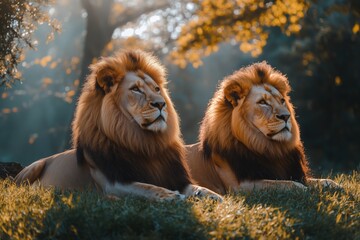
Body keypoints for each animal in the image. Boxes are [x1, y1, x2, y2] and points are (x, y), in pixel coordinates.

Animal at [16, 49, 222, 201]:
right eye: (136, 89)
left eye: (157, 89)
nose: (161, 104)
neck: (145, 143)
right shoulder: (113, 183)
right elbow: (145, 187)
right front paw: (170, 196)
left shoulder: (174, 177)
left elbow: (197, 187)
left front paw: (214, 195)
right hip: (33, 167)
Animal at [186, 62, 340, 195]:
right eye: (263, 102)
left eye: (282, 100)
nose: (286, 116)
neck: (266, 148)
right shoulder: (238, 186)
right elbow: (281, 183)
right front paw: (302, 188)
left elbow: (314, 181)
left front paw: (332, 184)